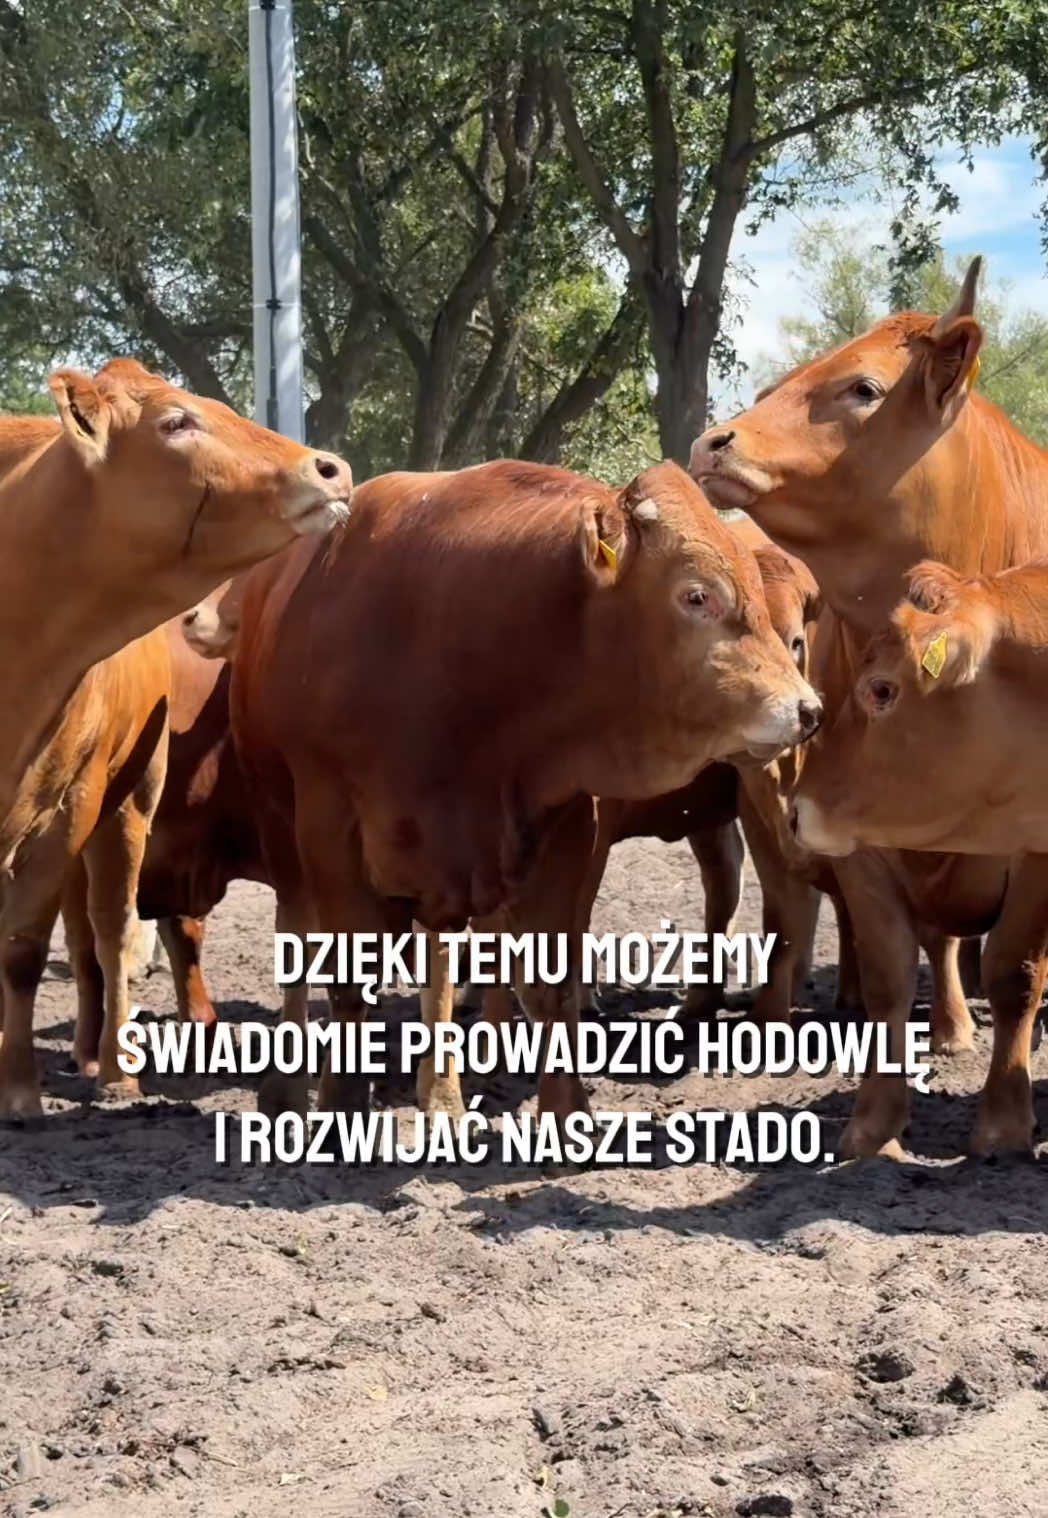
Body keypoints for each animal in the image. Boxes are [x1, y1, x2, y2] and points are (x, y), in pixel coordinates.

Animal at [0, 358, 353, 1116]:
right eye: (175, 421)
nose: (331, 468)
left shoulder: (64, 812)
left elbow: (22, 948)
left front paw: (18, 1089)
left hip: (129, 804)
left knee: (106, 933)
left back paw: (113, 1066)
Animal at [230, 459, 821, 1124]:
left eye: (789, 631)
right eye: (697, 595)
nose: (807, 710)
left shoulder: (562, 827)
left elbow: (547, 986)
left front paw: (568, 1116)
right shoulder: (331, 831)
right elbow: (348, 983)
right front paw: (340, 1110)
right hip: (283, 832)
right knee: (300, 939)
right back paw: (288, 1089)